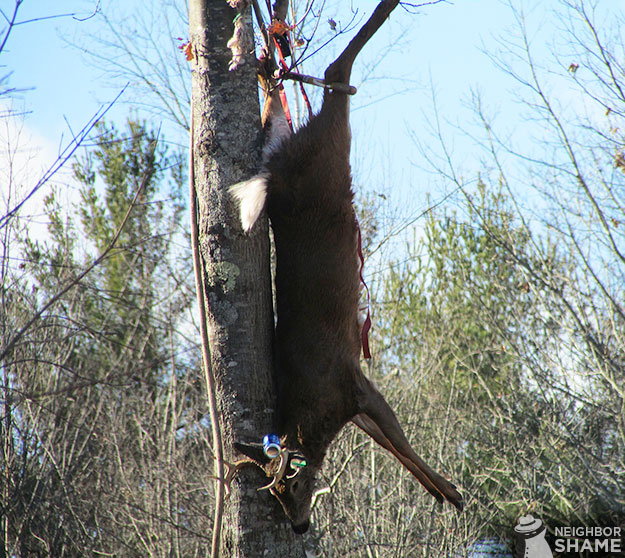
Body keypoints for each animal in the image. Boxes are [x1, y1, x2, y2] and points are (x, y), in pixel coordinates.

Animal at [232, 0, 460, 536]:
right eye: (274, 495)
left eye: (289, 485)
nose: (298, 527)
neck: (313, 414)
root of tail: (276, 180)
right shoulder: (355, 397)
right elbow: (390, 443)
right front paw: (444, 492)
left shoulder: (350, 384)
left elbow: (399, 440)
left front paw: (452, 492)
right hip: (313, 148)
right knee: (301, 88)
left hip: (321, 150)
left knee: (331, 75)